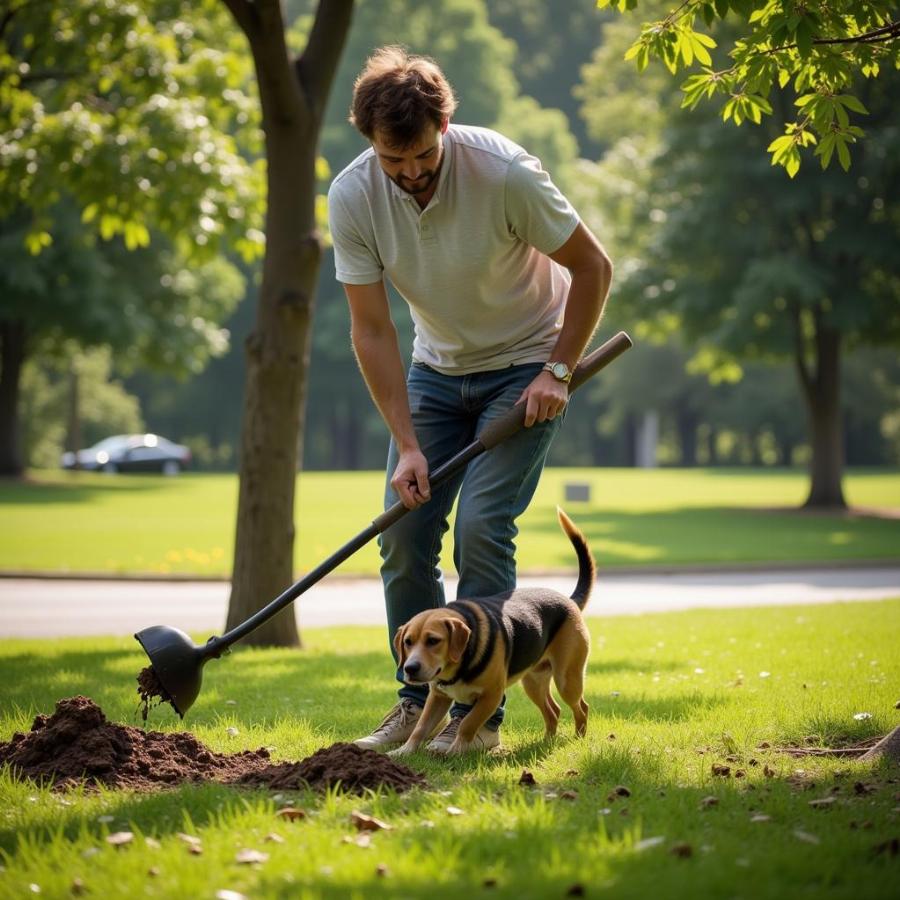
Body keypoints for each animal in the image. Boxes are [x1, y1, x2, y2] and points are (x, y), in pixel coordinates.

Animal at [390, 506, 596, 752]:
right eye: (408, 642)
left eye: (433, 640)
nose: (410, 668)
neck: (458, 666)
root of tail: (570, 601)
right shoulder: (437, 697)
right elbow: (421, 727)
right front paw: (405, 751)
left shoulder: (491, 697)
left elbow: (467, 724)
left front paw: (456, 750)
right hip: (533, 681)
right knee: (553, 711)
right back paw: (546, 741)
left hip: (567, 679)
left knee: (581, 706)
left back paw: (579, 738)